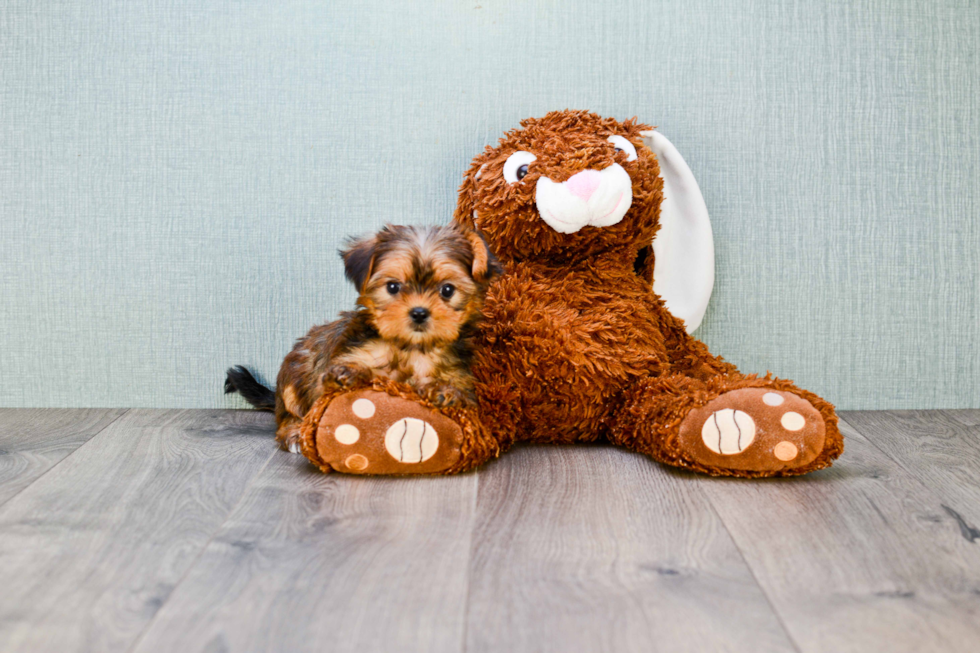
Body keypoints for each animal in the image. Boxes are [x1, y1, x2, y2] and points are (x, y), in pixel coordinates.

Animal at [226, 222, 502, 450]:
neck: (411, 348)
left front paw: (444, 391)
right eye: (393, 287)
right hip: (292, 381)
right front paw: (347, 374)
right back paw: (293, 432)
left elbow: (458, 392)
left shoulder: (465, 383)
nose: (419, 313)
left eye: (447, 290)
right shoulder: (350, 354)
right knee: (288, 413)